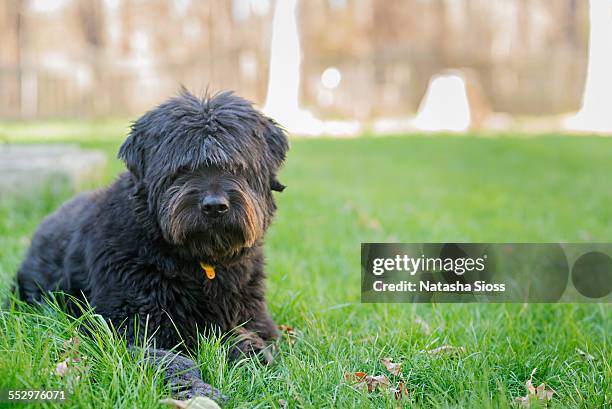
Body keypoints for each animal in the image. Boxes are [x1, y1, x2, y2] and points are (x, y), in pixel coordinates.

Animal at [14, 90, 290, 402]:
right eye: (182, 168)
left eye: (237, 166)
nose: (214, 206)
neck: (199, 265)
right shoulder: (123, 326)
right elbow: (170, 359)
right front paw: (196, 389)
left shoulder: (254, 318)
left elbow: (248, 340)